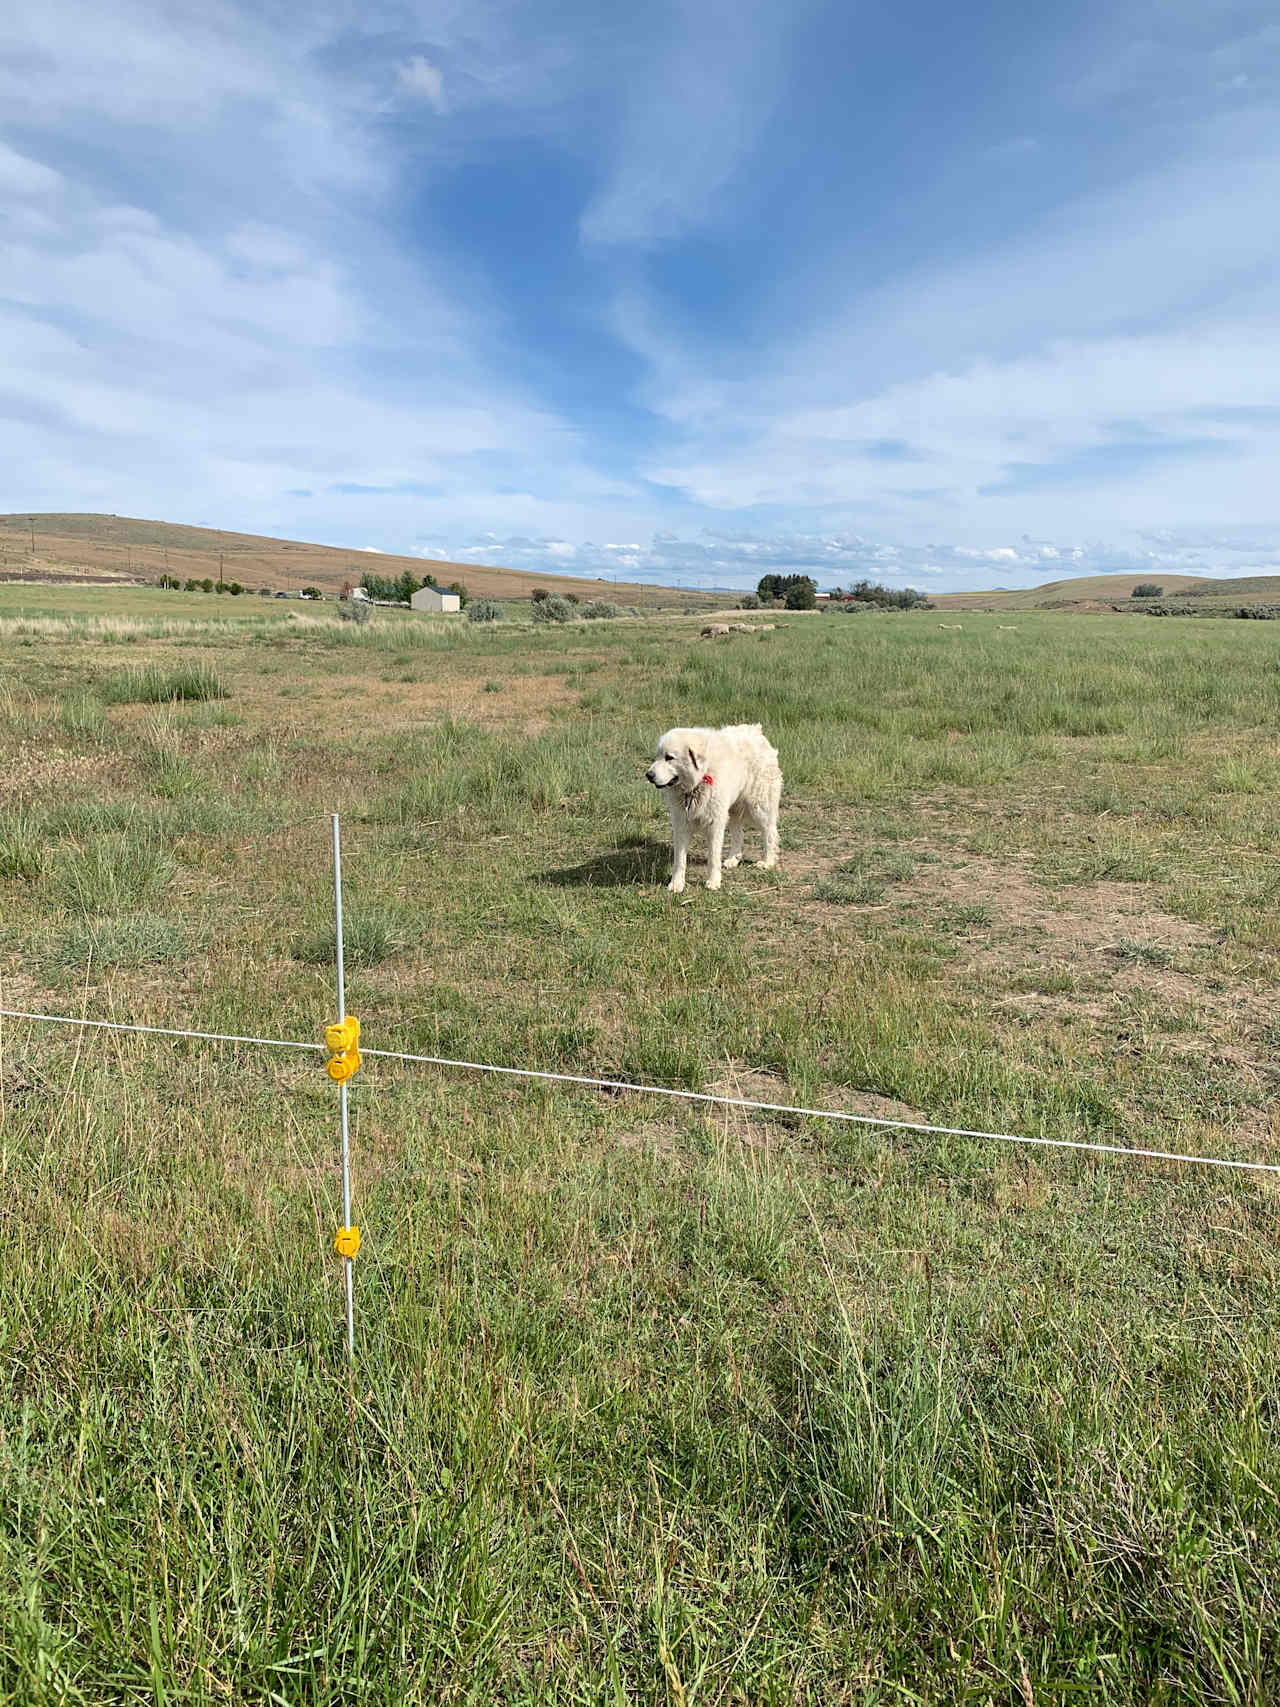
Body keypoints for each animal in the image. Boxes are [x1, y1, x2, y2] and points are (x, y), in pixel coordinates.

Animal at [641, 723, 781, 894]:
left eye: (669, 757)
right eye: (658, 756)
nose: (648, 775)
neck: (699, 780)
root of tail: (756, 730)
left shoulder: (715, 824)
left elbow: (713, 857)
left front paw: (713, 881)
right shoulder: (681, 823)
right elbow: (679, 860)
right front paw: (676, 884)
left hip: (759, 806)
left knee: (770, 833)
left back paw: (767, 862)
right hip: (732, 810)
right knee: (738, 834)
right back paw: (733, 859)